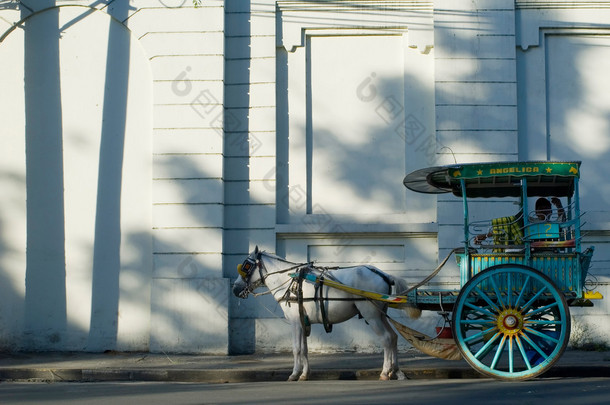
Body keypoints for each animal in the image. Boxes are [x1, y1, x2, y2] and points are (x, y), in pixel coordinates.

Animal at [230, 245, 420, 380]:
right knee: (393, 337)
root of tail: (384, 275)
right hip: (380, 314)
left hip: (371, 315)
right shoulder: (303, 322)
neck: (290, 281)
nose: (235, 289)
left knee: (386, 339)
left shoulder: (295, 322)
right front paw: (304, 374)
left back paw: (385, 372)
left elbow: (296, 348)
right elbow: (304, 349)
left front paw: (294, 374)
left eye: (246, 266)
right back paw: (396, 371)